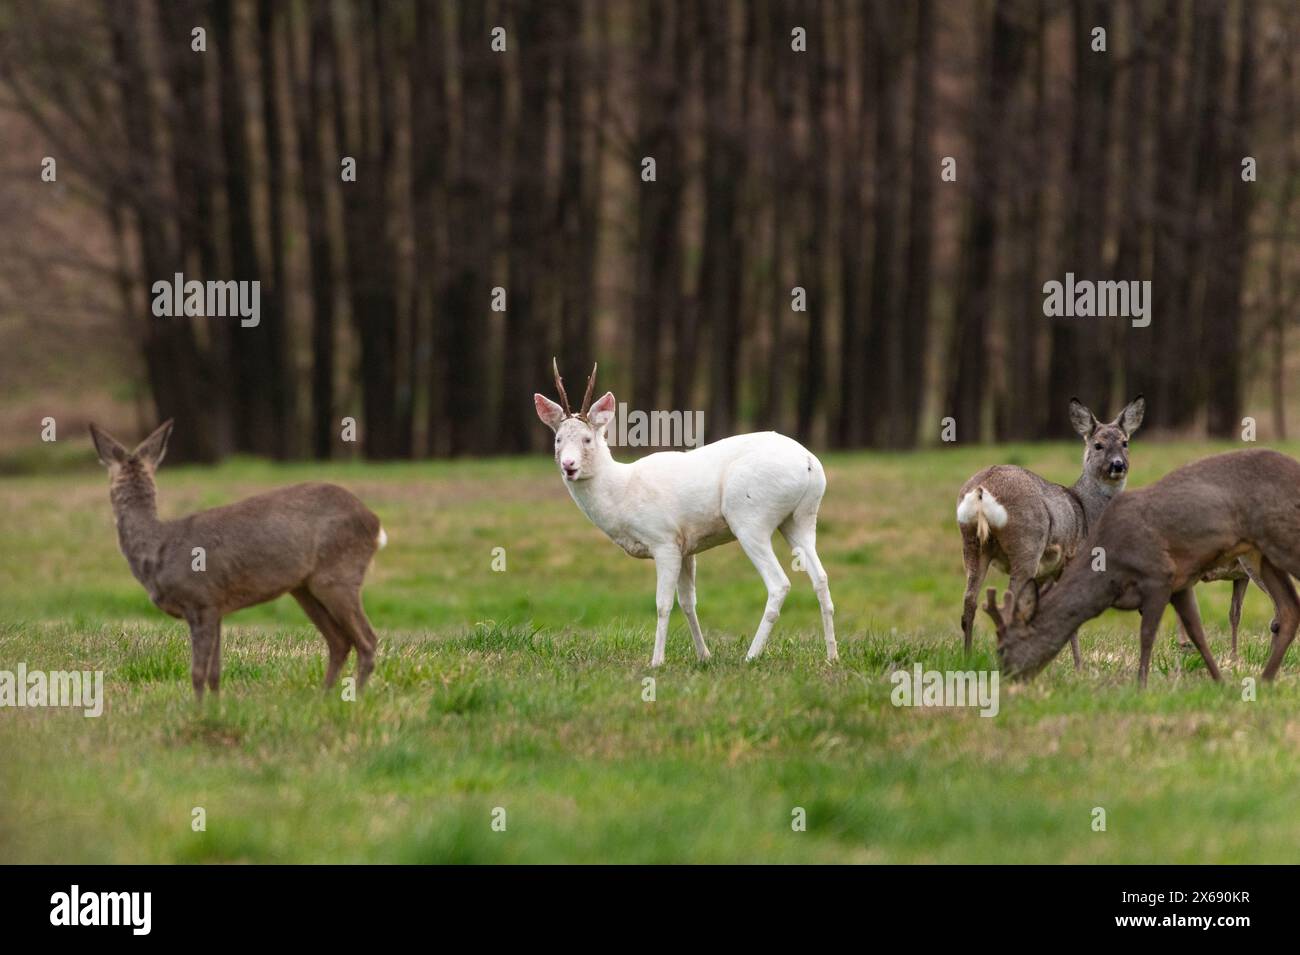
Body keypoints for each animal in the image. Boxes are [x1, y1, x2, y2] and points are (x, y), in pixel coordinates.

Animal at [89, 420, 384, 696]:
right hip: (304, 587)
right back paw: (322, 699)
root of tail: (375, 523)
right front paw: (215, 708)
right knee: (339, 641)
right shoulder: (217, 607)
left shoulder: (201, 600)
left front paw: (198, 712)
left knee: (367, 640)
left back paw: (354, 698)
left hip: (337, 575)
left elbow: (197, 672)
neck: (158, 548)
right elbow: (214, 673)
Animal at [533, 361, 837, 670]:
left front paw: (656, 661)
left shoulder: (663, 540)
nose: (569, 466)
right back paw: (831, 656)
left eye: (587, 438)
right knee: (821, 578)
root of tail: (810, 463)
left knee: (779, 584)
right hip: (800, 519)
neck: (623, 492)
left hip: (750, 519)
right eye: (558, 439)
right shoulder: (686, 547)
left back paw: (751, 656)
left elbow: (663, 604)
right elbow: (688, 602)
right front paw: (704, 655)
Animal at [956, 394, 1149, 665]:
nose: (1118, 465)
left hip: (972, 543)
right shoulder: (1071, 561)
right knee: (1007, 604)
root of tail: (982, 489)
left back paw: (968, 657)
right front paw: (1079, 665)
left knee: (969, 602)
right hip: (1027, 544)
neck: (1086, 511)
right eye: (1098, 445)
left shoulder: (1046, 573)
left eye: (1125, 442)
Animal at [982, 449, 1300, 686]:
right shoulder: (1181, 582)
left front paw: (1141, 684)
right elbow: (1199, 630)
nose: (1007, 679)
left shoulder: (1160, 574)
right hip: (1263, 556)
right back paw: (1266, 679)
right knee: (1287, 609)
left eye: (1003, 647)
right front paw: (1220, 680)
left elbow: (1149, 634)